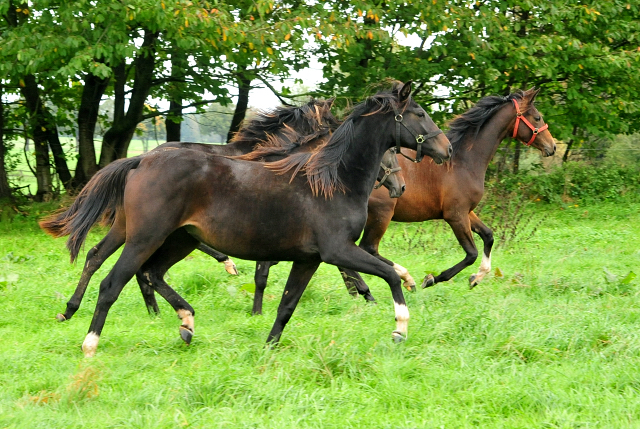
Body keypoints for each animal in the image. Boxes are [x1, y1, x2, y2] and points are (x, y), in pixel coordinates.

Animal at [42, 82, 452, 356]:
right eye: (419, 114)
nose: (445, 149)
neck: (332, 181)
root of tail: (141, 159)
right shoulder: (338, 250)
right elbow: (387, 274)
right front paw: (399, 328)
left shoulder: (309, 258)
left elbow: (287, 304)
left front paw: (268, 345)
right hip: (146, 237)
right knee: (113, 282)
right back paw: (90, 342)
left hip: (176, 238)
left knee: (145, 271)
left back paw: (185, 322)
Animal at [338, 87, 556, 294]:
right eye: (537, 117)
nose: (552, 146)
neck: (463, 161)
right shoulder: (455, 215)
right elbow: (471, 254)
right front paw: (432, 279)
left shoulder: (466, 211)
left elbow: (488, 235)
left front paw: (476, 278)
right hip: (382, 214)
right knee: (368, 248)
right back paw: (401, 281)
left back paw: (359, 290)